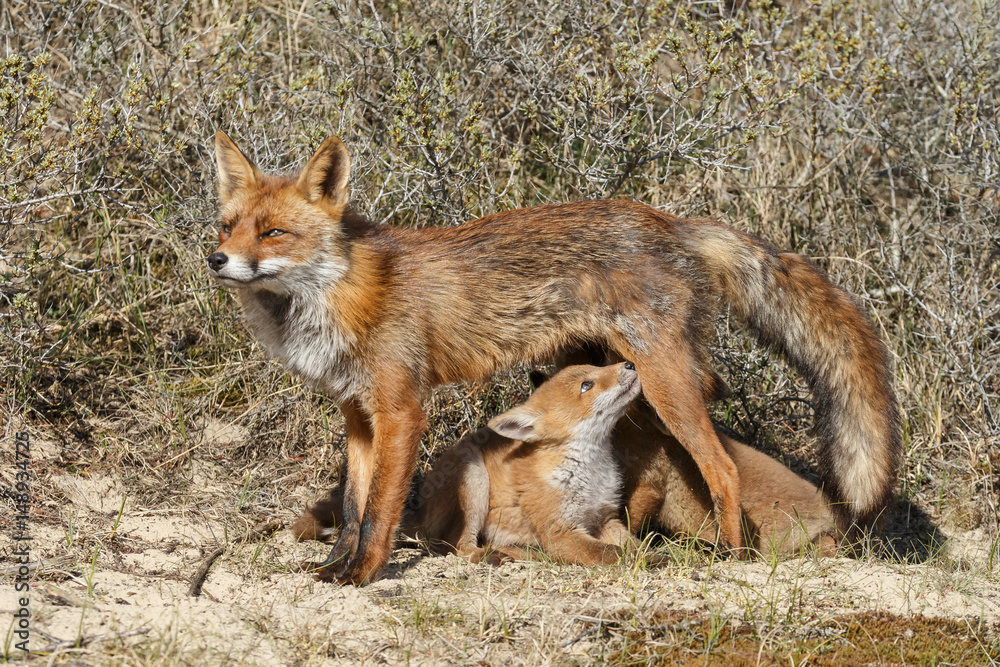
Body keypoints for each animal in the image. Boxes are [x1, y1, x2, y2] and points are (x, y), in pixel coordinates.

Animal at [209, 133, 900, 580]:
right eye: (227, 225)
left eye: (274, 233)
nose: (216, 260)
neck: (339, 296)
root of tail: (672, 222)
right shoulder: (356, 413)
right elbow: (353, 508)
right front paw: (332, 569)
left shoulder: (402, 409)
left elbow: (379, 510)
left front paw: (362, 576)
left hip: (663, 381)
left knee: (723, 469)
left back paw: (733, 558)